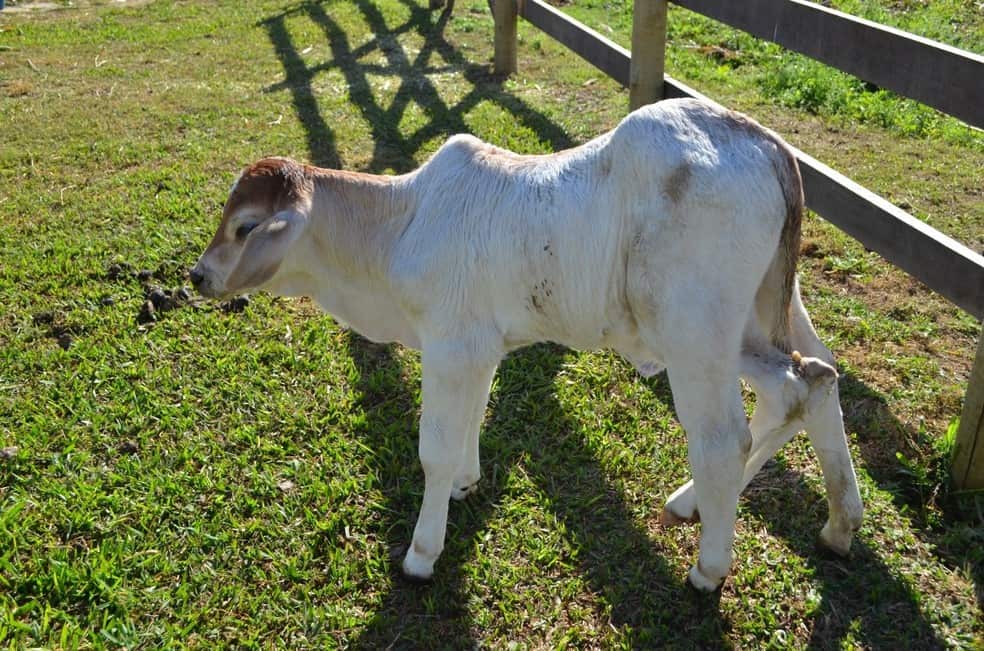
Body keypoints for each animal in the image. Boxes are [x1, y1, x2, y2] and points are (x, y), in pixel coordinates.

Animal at [186, 99, 860, 592]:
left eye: (246, 227)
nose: (198, 276)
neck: (401, 224)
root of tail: (764, 143)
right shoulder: (480, 349)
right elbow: (472, 422)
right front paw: (466, 481)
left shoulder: (450, 348)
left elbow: (433, 450)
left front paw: (422, 552)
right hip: (761, 317)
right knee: (811, 382)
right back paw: (831, 523)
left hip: (696, 336)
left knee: (725, 438)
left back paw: (708, 566)